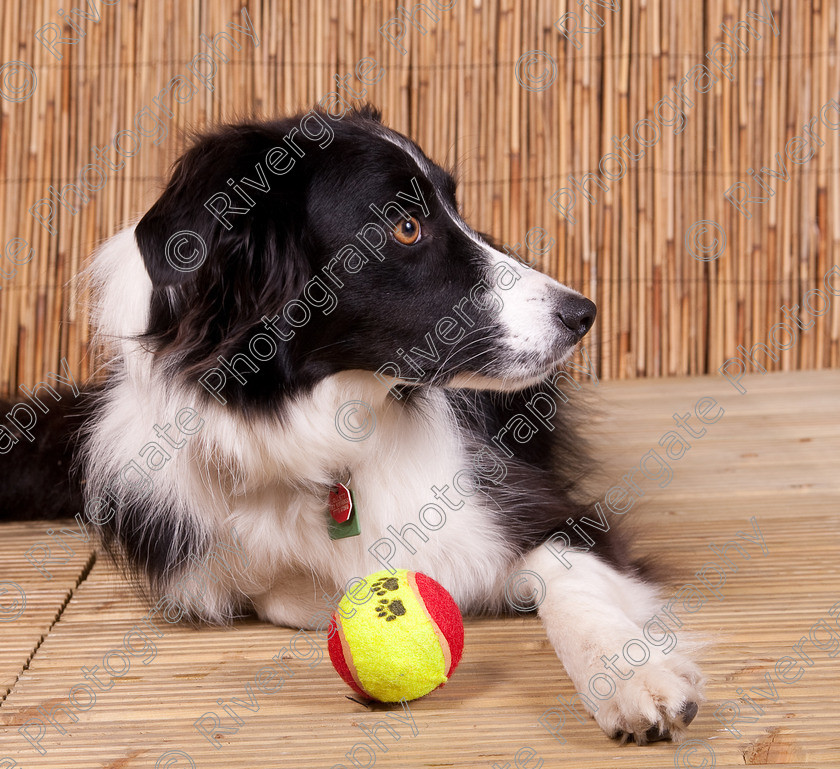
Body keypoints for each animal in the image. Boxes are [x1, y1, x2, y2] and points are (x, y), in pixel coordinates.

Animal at [1, 105, 704, 740]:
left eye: (455, 208)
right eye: (405, 227)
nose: (583, 313)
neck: (327, 430)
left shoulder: (544, 511)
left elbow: (571, 588)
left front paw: (631, 677)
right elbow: (294, 595)